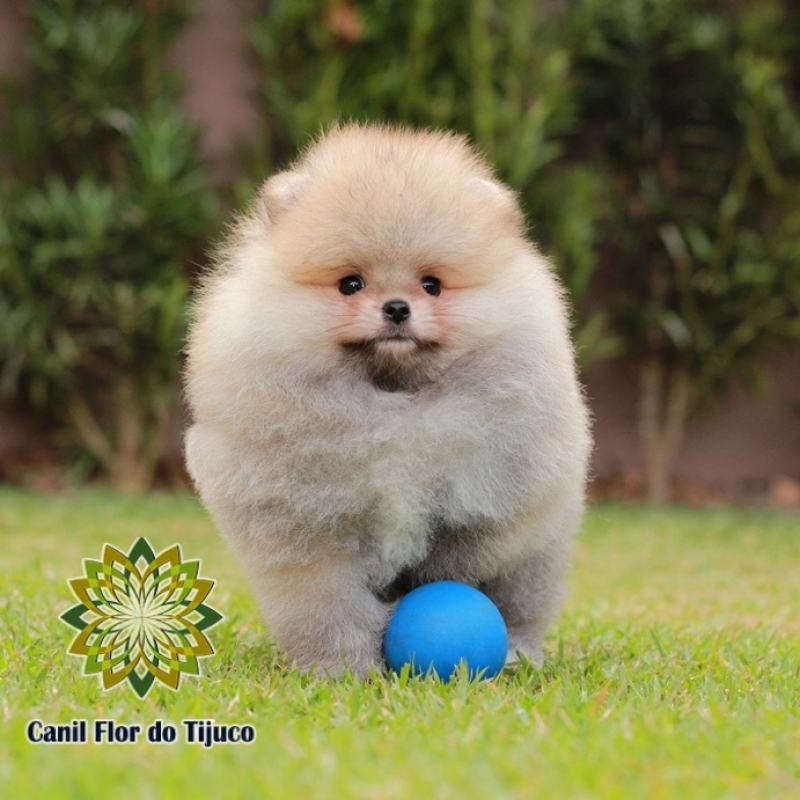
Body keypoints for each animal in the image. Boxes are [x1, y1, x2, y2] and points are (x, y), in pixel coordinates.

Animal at [184, 125, 592, 676]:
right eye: (350, 284)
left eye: (432, 285)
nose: (397, 308)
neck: (394, 406)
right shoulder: (309, 535)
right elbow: (329, 608)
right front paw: (341, 668)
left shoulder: (494, 496)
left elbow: (457, 557)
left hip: (538, 556)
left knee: (522, 603)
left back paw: (518, 652)